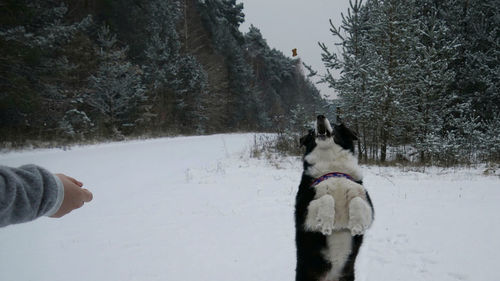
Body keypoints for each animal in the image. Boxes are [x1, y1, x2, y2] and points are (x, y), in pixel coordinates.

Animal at [294, 114, 374, 280]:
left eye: (335, 125)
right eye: (311, 132)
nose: (320, 116)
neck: (332, 167)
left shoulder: (370, 208)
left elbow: (357, 200)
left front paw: (357, 224)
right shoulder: (303, 213)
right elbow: (326, 198)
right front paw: (326, 221)